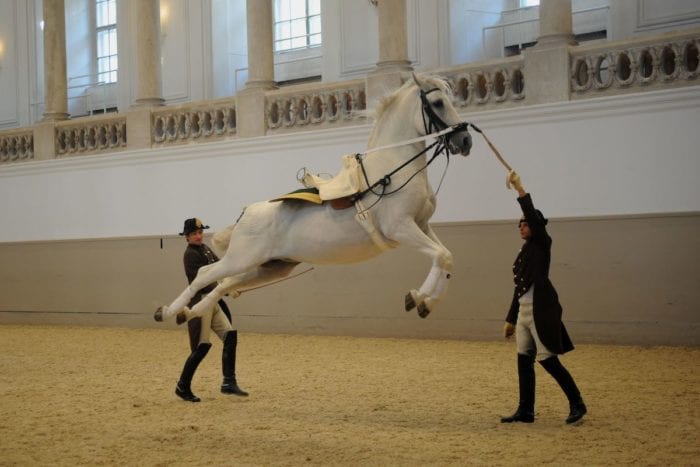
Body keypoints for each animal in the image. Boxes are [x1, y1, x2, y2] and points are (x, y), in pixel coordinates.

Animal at [158, 76, 474, 326]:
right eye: (438, 103)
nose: (465, 141)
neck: (391, 170)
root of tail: (246, 212)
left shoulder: (422, 225)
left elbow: (446, 257)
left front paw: (423, 301)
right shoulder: (401, 228)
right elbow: (441, 256)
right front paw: (418, 298)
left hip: (270, 266)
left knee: (225, 284)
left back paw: (191, 312)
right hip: (242, 258)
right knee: (205, 274)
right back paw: (168, 311)